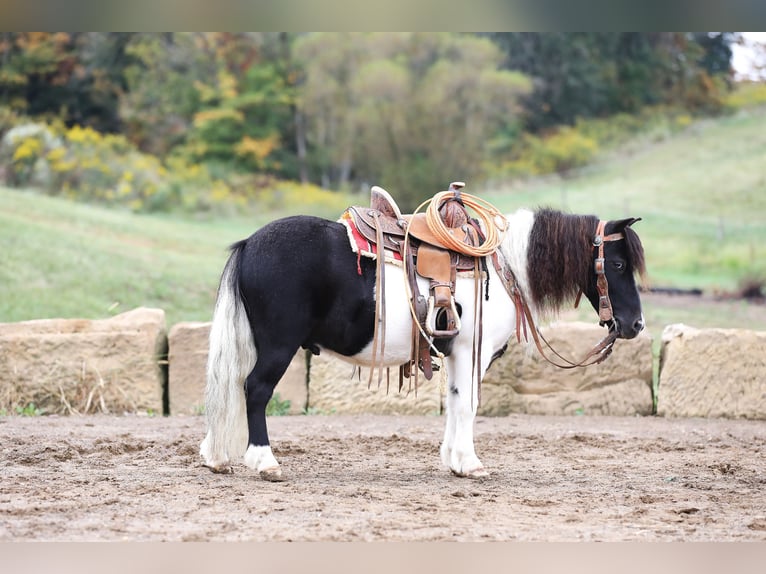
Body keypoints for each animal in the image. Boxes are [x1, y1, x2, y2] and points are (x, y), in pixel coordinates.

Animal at [200, 197, 648, 482]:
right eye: (618, 264)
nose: (636, 324)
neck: (503, 266)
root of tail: (249, 245)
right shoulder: (471, 352)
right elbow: (468, 404)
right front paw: (470, 464)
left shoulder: (455, 354)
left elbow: (454, 402)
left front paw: (453, 460)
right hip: (279, 345)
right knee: (255, 390)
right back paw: (264, 462)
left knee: (230, 388)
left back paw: (215, 457)